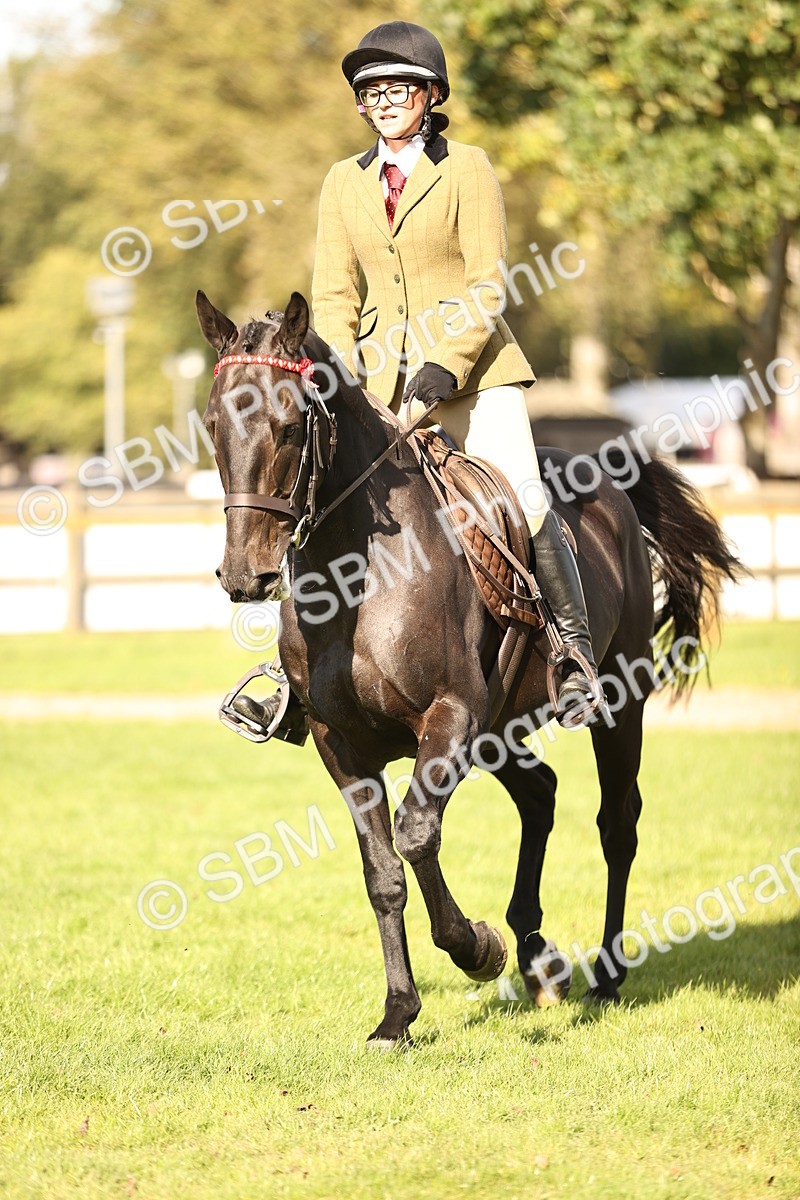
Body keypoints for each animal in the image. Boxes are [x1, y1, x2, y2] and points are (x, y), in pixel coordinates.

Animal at [196, 289, 741, 1048]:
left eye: (289, 425)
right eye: (214, 425)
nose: (245, 577)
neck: (357, 577)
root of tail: (605, 474)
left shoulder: (447, 717)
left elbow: (417, 833)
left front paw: (477, 948)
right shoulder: (343, 745)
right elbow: (383, 872)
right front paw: (398, 1013)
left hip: (617, 705)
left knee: (617, 824)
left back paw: (604, 974)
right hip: (498, 727)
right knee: (540, 795)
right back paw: (541, 960)